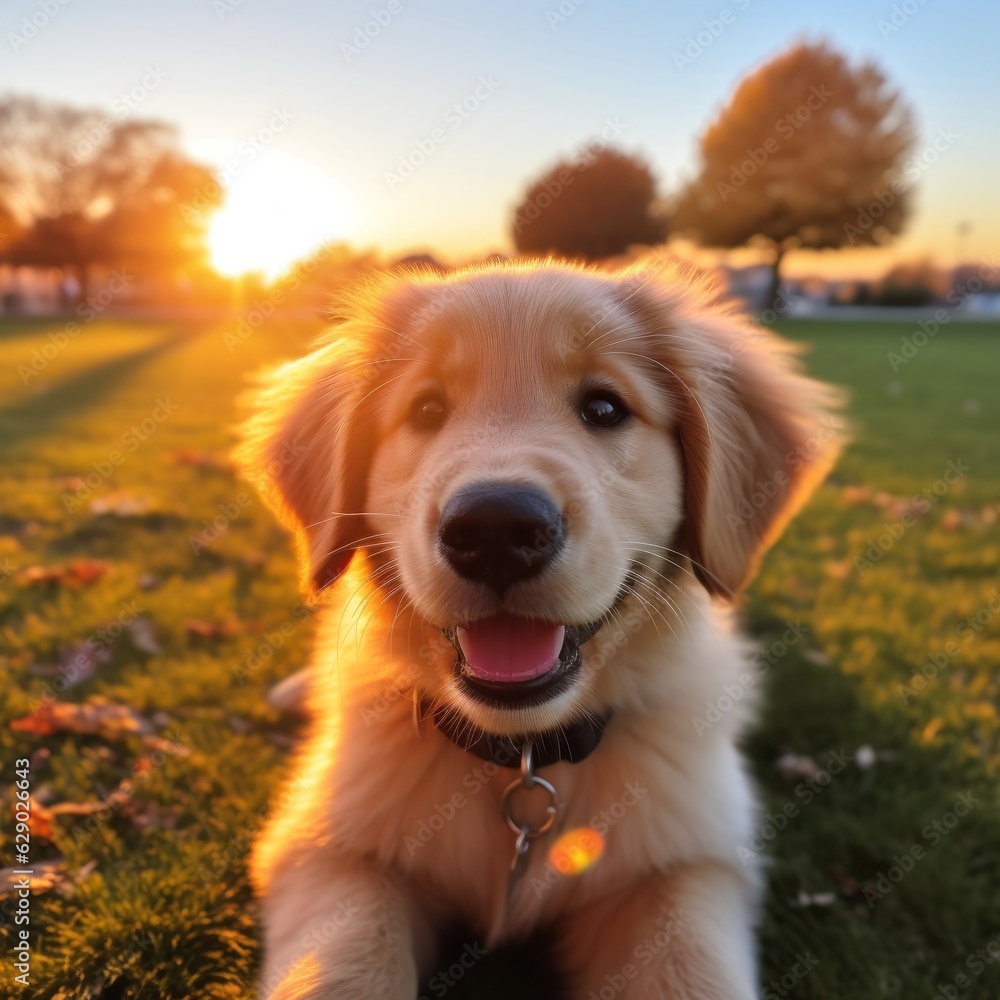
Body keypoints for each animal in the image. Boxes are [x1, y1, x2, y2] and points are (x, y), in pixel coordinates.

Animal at [242, 260, 844, 1000]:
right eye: (426, 410)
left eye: (605, 408)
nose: (495, 530)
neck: (524, 759)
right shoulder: (329, 849)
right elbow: (348, 960)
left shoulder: (685, 864)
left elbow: (691, 968)